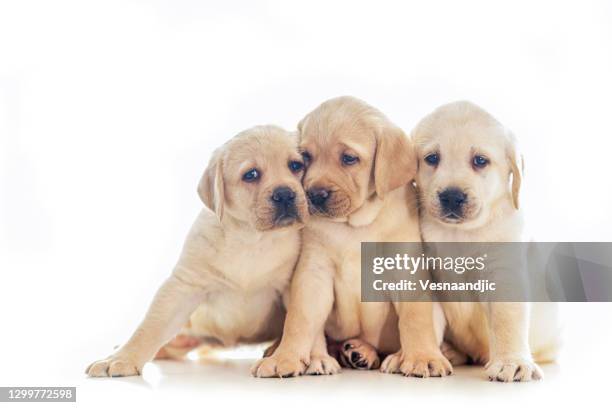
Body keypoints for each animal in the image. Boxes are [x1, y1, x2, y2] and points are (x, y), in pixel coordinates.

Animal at [86, 126, 308, 378]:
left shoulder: (290, 287)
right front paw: (122, 357)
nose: (285, 194)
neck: (251, 238)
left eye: (295, 165)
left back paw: (273, 348)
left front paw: (285, 356)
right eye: (251, 175)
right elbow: (150, 326)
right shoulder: (183, 286)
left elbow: (295, 323)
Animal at [251, 97, 452, 378]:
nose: (314, 195)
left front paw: (423, 356)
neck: (355, 226)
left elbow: (415, 318)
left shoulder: (406, 270)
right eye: (306, 157)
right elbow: (299, 319)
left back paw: (378, 354)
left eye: (348, 158)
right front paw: (285, 357)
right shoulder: (314, 273)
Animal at [412, 102, 560, 382]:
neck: (460, 234)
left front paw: (512, 362)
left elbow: (507, 320)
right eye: (432, 158)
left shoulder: (504, 273)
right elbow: (426, 320)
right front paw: (424, 356)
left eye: (480, 161)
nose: (451, 196)